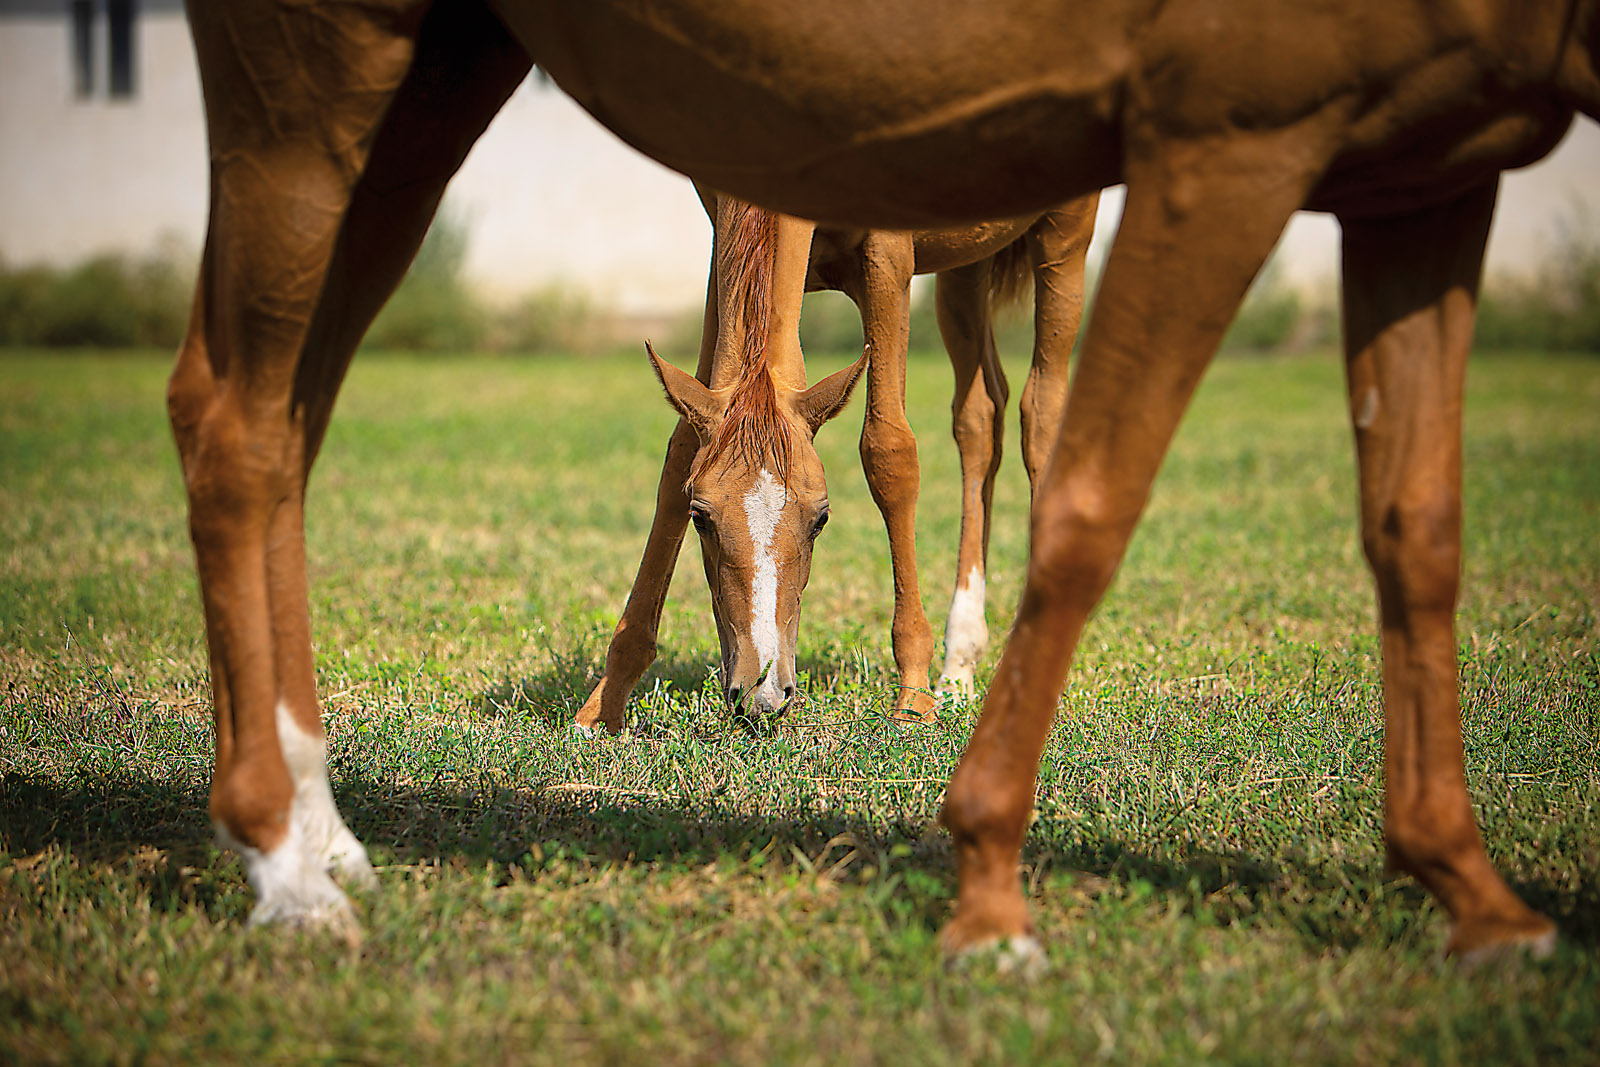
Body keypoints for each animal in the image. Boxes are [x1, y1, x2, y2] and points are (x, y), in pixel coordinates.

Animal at [582, 187, 1107, 729]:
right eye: (700, 517)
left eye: (822, 519)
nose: (762, 693)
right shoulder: (717, 259)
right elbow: (680, 453)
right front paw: (603, 704)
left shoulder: (888, 256)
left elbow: (888, 451)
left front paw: (913, 695)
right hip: (967, 266)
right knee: (980, 418)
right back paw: (958, 670)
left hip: (1064, 237)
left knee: (1040, 413)